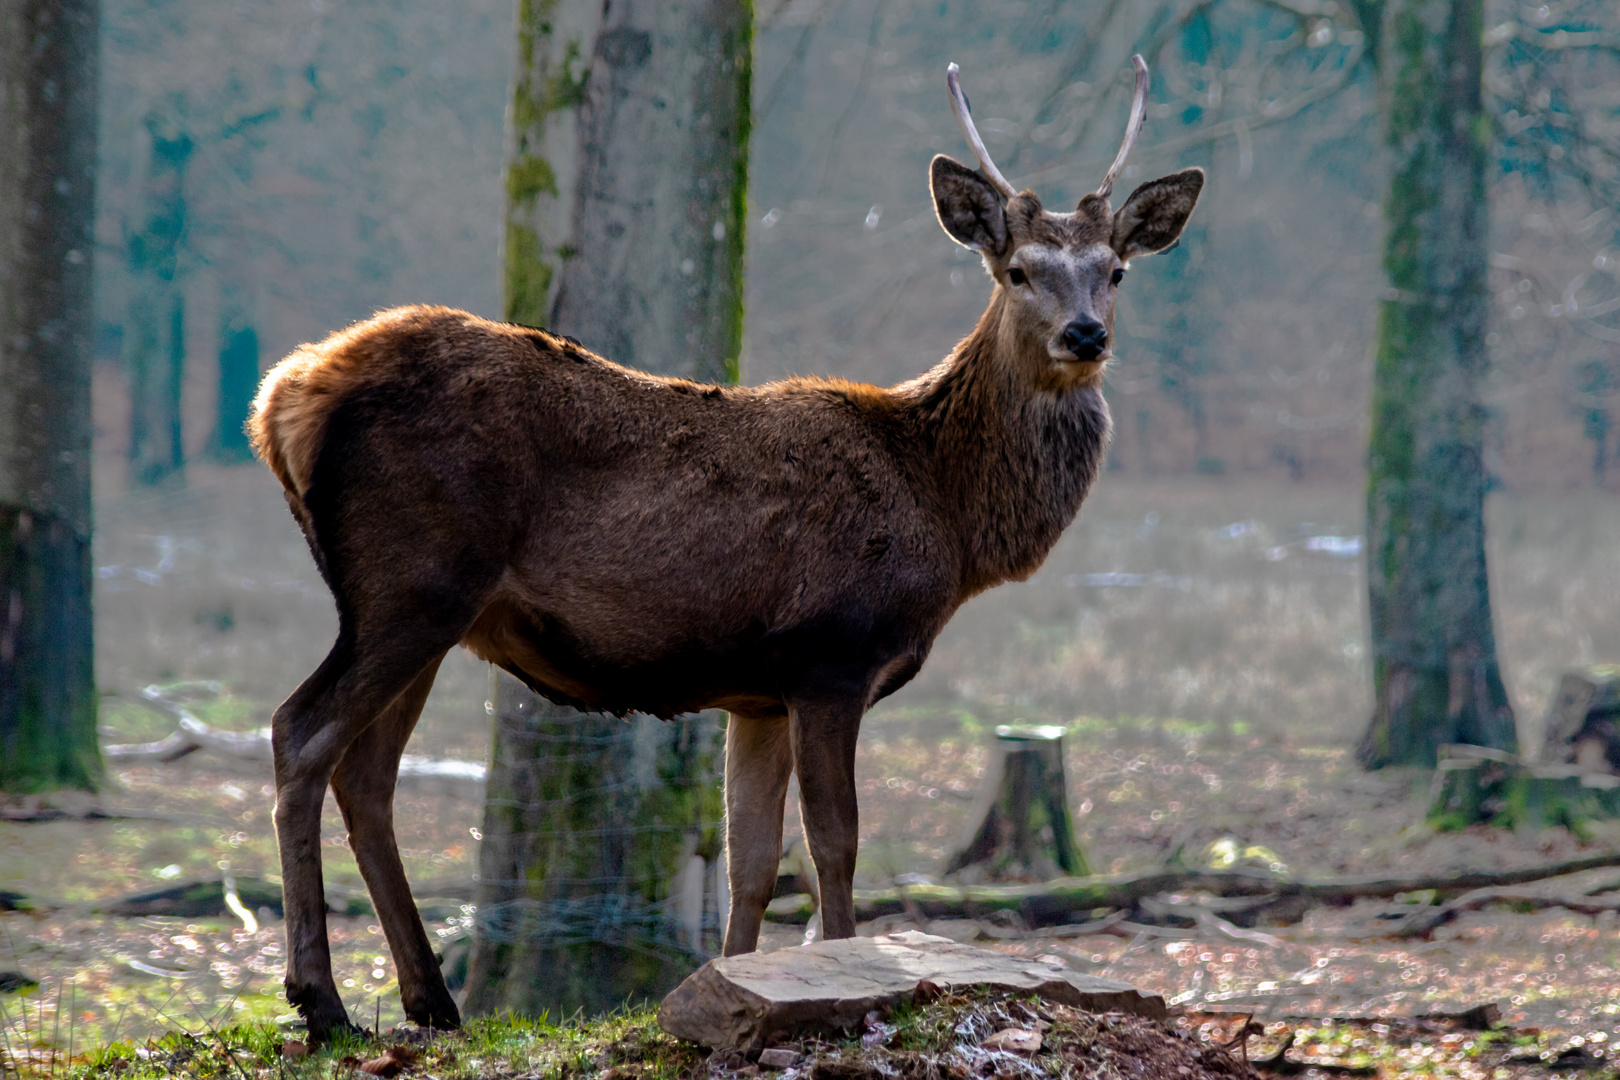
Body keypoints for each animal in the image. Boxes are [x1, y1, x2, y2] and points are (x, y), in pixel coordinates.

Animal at [249, 59, 1205, 1036]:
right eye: (1017, 270)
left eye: (1116, 270)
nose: (1085, 334)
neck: (945, 512)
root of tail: (282, 396)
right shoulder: (831, 653)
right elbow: (833, 844)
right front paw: (844, 977)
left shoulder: (758, 691)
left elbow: (750, 861)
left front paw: (737, 986)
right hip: (410, 581)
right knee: (300, 732)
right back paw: (321, 999)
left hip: (435, 610)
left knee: (368, 774)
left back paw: (431, 1000)